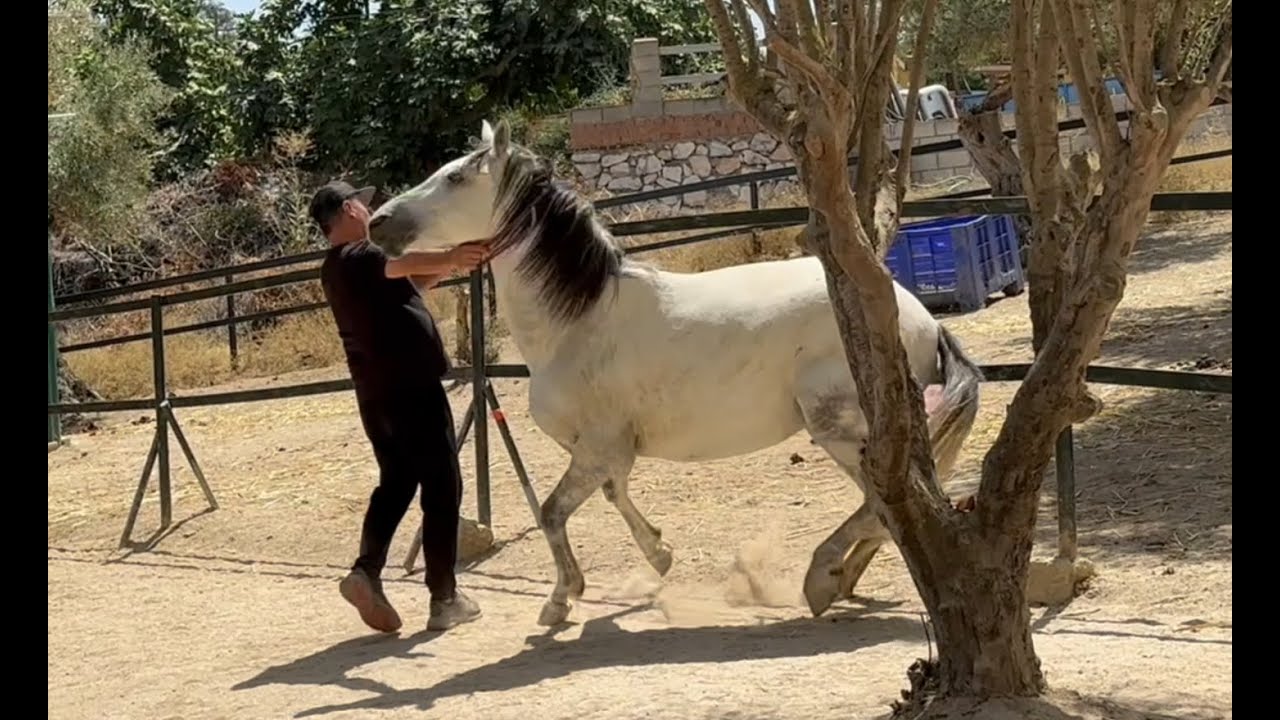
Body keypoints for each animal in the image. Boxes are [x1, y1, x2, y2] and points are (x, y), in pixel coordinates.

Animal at [367, 119, 983, 627]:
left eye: (454, 177)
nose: (377, 224)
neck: (580, 321)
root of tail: (920, 317)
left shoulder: (598, 448)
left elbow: (552, 512)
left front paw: (561, 600)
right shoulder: (608, 452)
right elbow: (614, 495)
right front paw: (660, 557)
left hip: (841, 429)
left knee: (886, 502)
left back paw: (821, 577)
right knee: (893, 507)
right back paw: (842, 581)